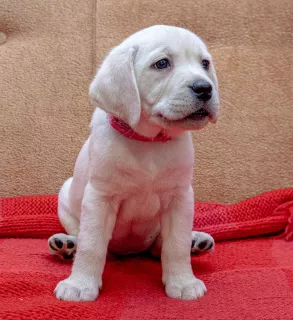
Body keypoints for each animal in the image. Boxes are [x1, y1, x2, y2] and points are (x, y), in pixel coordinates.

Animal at [49, 25, 219, 302]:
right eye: (162, 63)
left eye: (204, 63)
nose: (205, 88)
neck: (149, 142)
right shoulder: (100, 197)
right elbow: (91, 245)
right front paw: (80, 285)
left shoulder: (180, 197)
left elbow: (176, 244)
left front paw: (182, 282)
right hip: (66, 196)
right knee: (81, 234)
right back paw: (67, 245)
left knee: (161, 246)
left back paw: (196, 241)